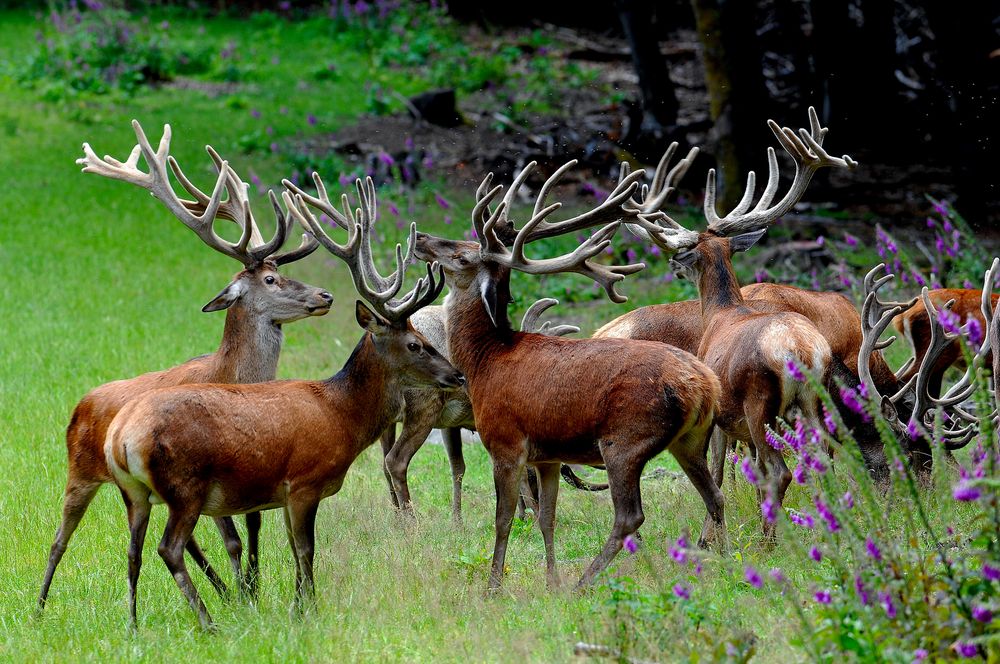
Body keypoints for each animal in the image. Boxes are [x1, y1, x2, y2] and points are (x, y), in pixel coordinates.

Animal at [103, 174, 462, 632]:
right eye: (416, 344)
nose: (458, 376)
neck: (342, 416)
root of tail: (121, 437)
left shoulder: (288, 494)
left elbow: (293, 547)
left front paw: (297, 605)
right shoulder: (305, 481)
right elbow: (306, 549)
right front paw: (307, 609)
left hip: (135, 492)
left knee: (134, 550)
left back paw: (134, 623)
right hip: (186, 486)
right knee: (169, 548)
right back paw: (209, 620)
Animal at [410, 160, 724, 592]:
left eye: (461, 255)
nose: (421, 237)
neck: (484, 361)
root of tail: (704, 384)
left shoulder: (505, 440)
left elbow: (503, 519)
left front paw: (494, 587)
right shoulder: (548, 455)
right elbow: (547, 519)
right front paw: (551, 581)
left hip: (624, 440)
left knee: (630, 516)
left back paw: (586, 581)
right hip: (690, 439)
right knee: (715, 496)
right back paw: (728, 562)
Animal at [628, 105, 856, 540]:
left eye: (689, 258)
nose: (674, 266)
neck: (721, 313)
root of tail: (800, 351)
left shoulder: (719, 412)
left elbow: (717, 471)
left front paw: (710, 537)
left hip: (758, 402)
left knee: (780, 472)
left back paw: (770, 539)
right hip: (813, 399)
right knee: (824, 460)